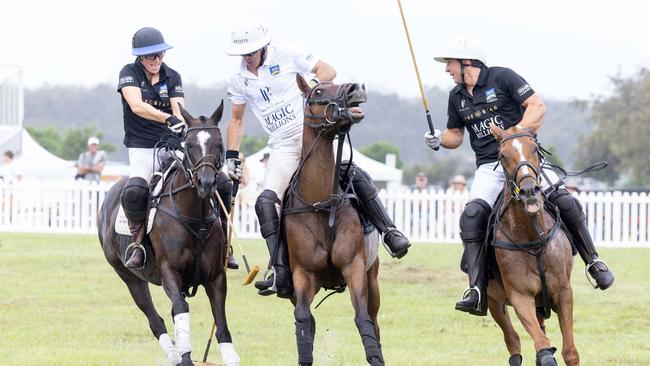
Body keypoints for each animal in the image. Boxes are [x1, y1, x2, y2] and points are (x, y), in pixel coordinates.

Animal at [95, 101, 239, 366]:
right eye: (189, 144)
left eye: (219, 143)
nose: (206, 183)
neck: (195, 216)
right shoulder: (169, 272)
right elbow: (181, 309)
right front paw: (185, 357)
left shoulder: (215, 276)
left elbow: (220, 318)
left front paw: (229, 357)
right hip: (127, 274)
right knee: (154, 318)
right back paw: (173, 354)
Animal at [280, 76, 382, 364]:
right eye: (317, 91)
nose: (356, 88)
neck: (321, 205)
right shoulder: (302, 275)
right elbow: (303, 321)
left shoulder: (354, 267)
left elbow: (363, 320)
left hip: (373, 278)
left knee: (375, 322)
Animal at [486, 125, 576, 366]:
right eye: (502, 155)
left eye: (535, 149)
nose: (529, 191)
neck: (533, 236)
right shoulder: (520, 296)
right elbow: (543, 347)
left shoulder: (564, 291)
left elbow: (570, 352)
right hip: (493, 299)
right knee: (513, 341)